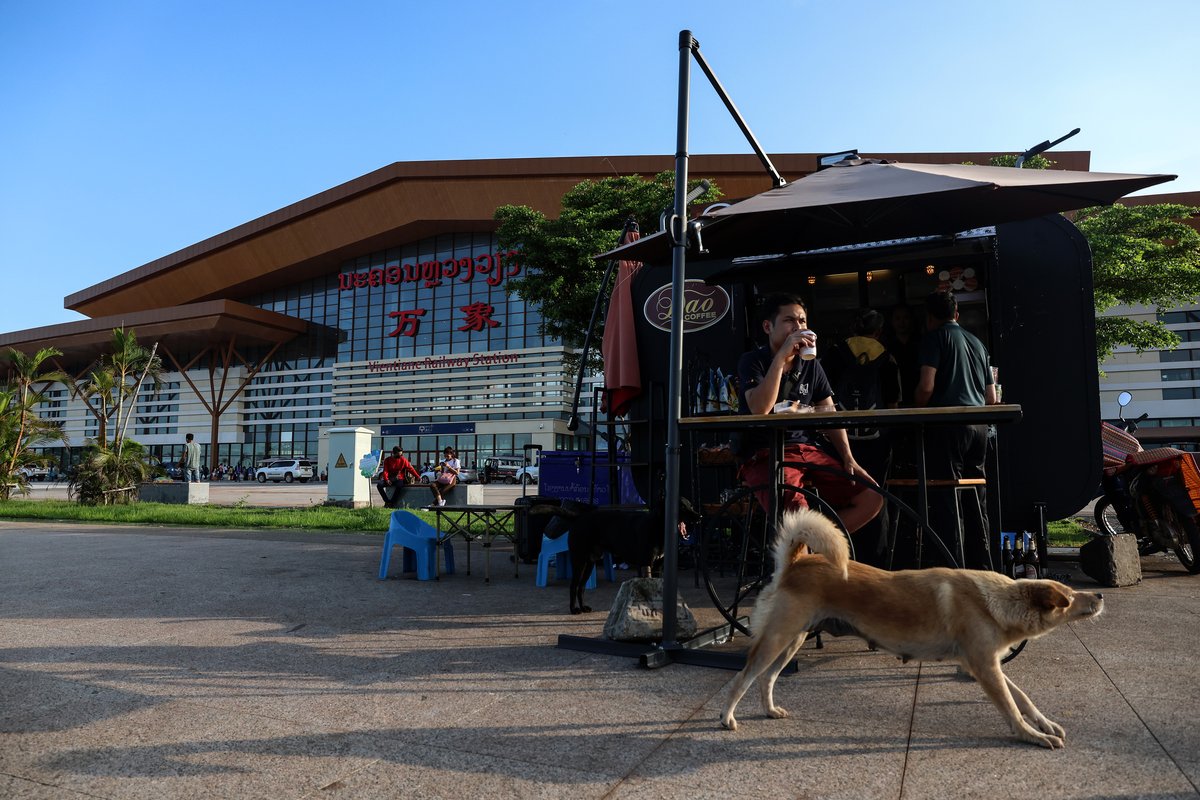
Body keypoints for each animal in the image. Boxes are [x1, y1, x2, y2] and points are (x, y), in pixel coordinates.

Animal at [561, 496, 700, 618]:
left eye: (691, 505)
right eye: (681, 507)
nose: (700, 516)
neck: (657, 526)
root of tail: (578, 518)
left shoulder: (658, 566)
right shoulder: (646, 564)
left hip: (589, 562)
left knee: (581, 586)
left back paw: (583, 607)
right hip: (579, 560)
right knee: (573, 585)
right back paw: (573, 609)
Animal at [720, 510, 1104, 748]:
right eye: (1070, 597)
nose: (1099, 594)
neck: (996, 600)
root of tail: (795, 562)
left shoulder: (982, 664)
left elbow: (1022, 697)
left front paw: (1044, 723)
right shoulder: (984, 667)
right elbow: (1010, 706)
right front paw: (1031, 736)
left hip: (793, 639)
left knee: (767, 678)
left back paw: (769, 709)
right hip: (777, 638)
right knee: (743, 678)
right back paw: (726, 718)